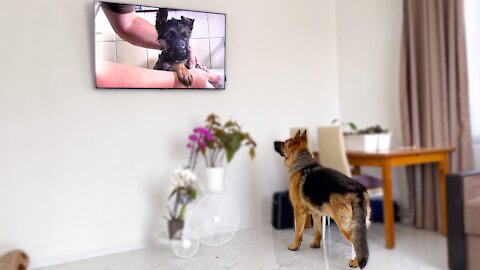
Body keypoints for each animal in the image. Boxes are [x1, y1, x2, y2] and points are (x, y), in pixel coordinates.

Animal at [274, 130, 372, 268]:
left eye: (285, 142)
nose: (274, 143)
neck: (302, 161)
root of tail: (358, 190)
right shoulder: (316, 213)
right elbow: (318, 231)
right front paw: (316, 244)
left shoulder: (299, 211)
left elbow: (298, 231)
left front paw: (295, 246)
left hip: (344, 225)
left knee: (356, 242)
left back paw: (355, 262)